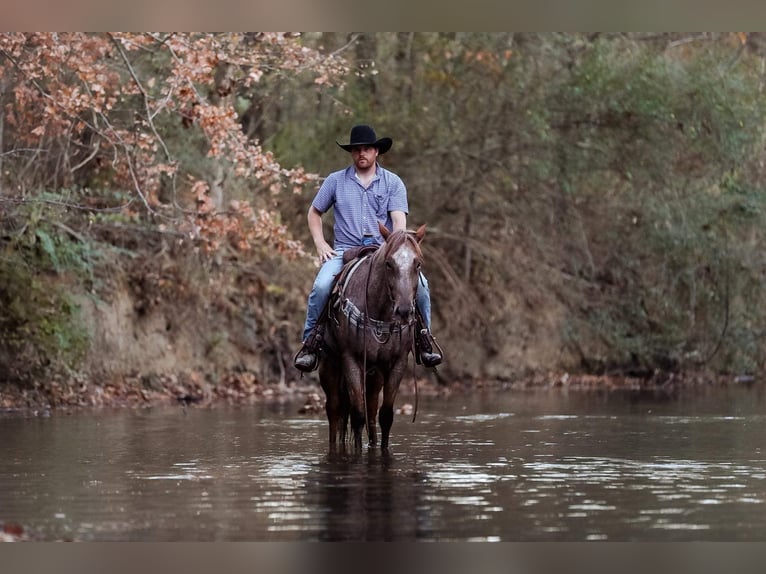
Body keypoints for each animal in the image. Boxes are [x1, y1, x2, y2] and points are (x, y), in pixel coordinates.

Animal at [319, 222, 426, 450]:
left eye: (418, 264)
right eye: (389, 264)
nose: (404, 311)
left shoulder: (397, 363)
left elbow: (385, 416)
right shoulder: (351, 359)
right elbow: (358, 416)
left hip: (374, 376)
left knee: (371, 409)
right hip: (329, 364)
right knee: (334, 410)